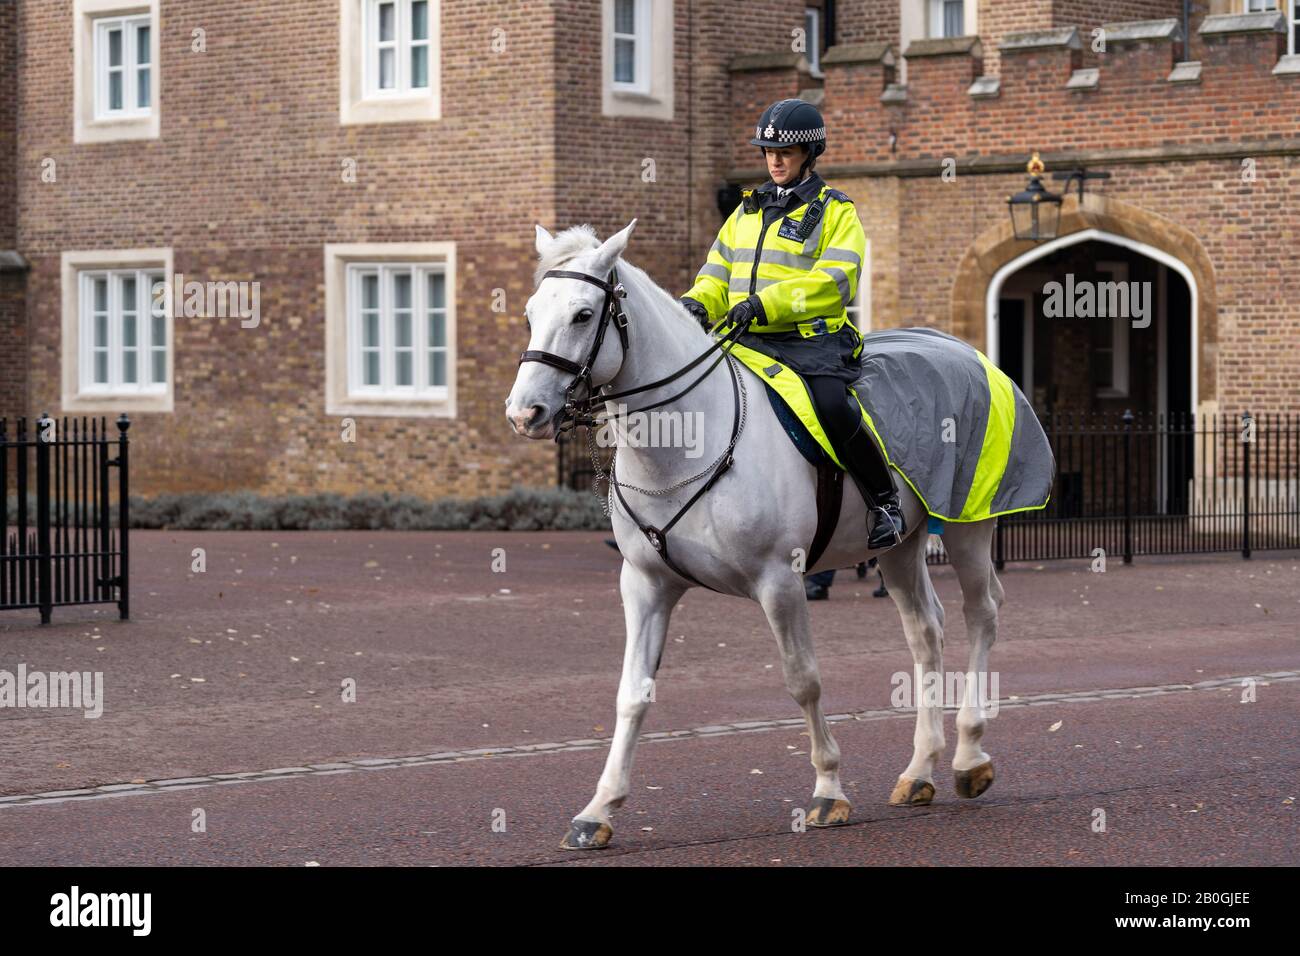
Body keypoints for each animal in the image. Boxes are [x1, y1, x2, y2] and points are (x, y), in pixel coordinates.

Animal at [507, 220, 1015, 850]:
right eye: (530, 312)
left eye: (582, 314)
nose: (525, 412)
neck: (687, 440)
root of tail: (966, 350)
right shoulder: (646, 586)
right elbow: (632, 693)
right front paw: (598, 809)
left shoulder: (780, 581)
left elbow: (804, 682)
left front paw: (828, 791)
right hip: (898, 548)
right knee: (926, 631)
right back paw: (920, 770)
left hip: (970, 528)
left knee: (981, 614)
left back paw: (969, 757)